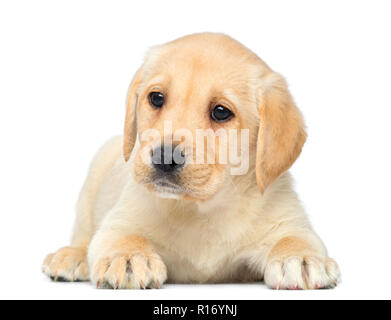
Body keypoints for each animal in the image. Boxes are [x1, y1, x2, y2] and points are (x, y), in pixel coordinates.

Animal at [43, 33, 342, 290]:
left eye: (221, 111)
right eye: (156, 98)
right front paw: (127, 257)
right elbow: (124, 235)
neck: (202, 208)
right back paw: (71, 256)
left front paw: (301, 258)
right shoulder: (119, 220)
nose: (164, 157)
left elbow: (295, 238)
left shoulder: (287, 219)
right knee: (83, 235)